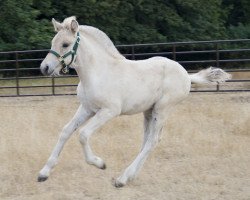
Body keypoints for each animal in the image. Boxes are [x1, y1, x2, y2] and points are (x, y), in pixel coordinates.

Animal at [38, 16, 231, 187]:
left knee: (152, 141)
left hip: (162, 109)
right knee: (146, 141)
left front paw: (100, 163)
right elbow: (66, 131)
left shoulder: (109, 111)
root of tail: (186, 75)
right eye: (53, 42)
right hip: (149, 111)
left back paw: (122, 179)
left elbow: (83, 134)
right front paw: (44, 173)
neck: (98, 72)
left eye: (65, 44)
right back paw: (129, 176)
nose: (44, 68)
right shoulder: (86, 108)